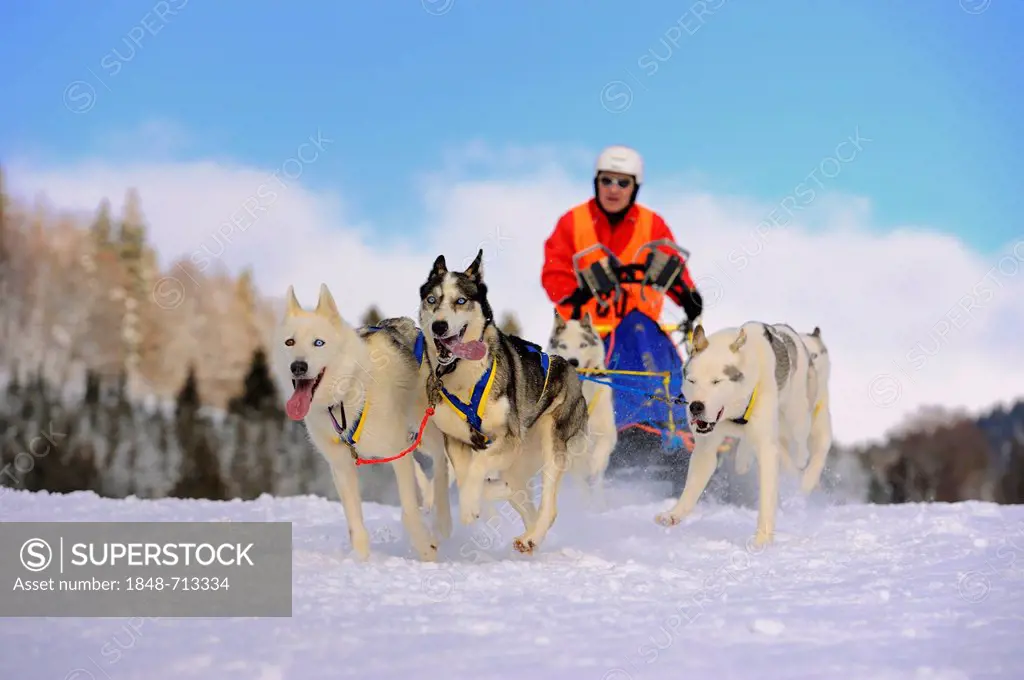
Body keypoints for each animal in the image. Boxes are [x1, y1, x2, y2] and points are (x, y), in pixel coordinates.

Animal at [270, 284, 450, 561]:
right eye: (290, 342)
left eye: (318, 343)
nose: (297, 366)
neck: (345, 397)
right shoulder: (341, 467)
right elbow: (356, 527)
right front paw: (362, 562)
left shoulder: (397, 454)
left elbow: (409, 511)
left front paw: (426, 550)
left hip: (427, 432)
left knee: (442, 463)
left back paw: (442, 517)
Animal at [417, 249, 593, 553]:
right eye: (432, 300)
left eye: (460, 301)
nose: (439, 326)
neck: (463, 377)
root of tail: (570, 369)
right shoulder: (456, 442)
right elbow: (465, 473)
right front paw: (470, 498)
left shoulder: (508, 437)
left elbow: (477, 466)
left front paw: (469, 506)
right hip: (519, 460)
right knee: (518, 492)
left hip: (550, 441)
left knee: (547, 506)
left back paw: (531, 535)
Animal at [552, 311, 614, 501]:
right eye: (563, 346)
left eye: (583, 345)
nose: (573, 361)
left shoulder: (606, 431)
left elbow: (600, 451)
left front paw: (593, 465)